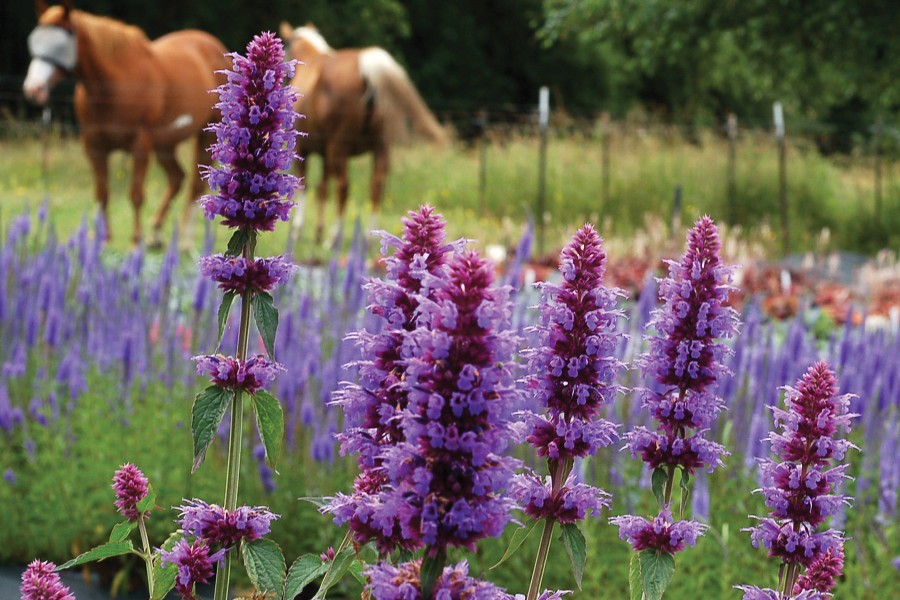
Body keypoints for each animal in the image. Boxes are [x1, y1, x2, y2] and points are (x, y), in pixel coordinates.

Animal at [24, 0, 230, 245]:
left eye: (59, 45)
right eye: (34, 41)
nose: (33, 89)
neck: (114, 84)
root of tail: (214, 47)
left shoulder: (140, 144)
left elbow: (136, 194)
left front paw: (135, 240)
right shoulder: (94, 146)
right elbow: (102, 194)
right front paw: (103, 240)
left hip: (205, 135)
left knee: (195, 185)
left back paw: (185, 241)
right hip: (165, 144)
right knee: (177, 178)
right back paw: (156, 232)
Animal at [278, 22, 446, 244]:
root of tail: (366, 68)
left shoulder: (305, 150)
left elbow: (305, 185)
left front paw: (298, 230)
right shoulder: (325, 154)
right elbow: (322, 188)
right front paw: (317, 231)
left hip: (339, 147)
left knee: (343, 187)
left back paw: (335, 236)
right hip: (380, 147)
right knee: (376, 185)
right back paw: (369, 236)